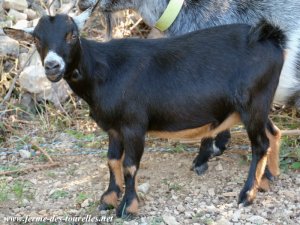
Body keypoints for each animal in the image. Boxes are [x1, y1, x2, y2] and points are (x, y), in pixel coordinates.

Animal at [5, 9, 286, 217]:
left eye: (72, 35)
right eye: (37, 39)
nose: (52, 66)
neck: (104, 71)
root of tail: (270, 37)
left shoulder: (133, 125)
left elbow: (129, 165)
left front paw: (127, 207)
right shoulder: (113, 128)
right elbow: (112, 160)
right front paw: (108, 198)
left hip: (252, 103)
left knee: (260, 144)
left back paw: (247, 194)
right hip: (257, 105)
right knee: (274, 132)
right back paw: (268, 178)